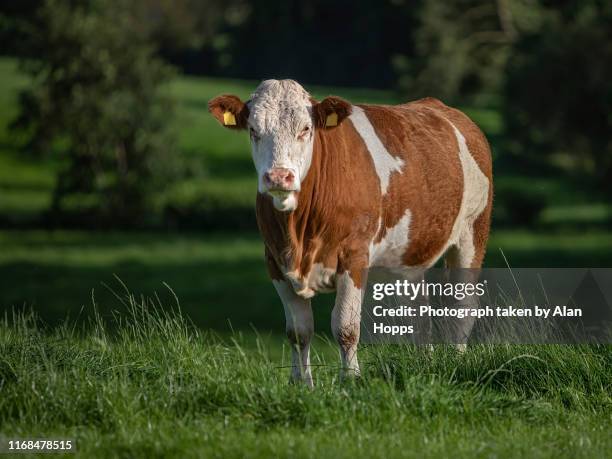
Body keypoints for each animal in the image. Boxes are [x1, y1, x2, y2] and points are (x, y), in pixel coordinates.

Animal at [210, 80, 492, 388]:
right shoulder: (274, 259)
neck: (299, 236)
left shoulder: (353, 256)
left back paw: (456, 361)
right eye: (253, 130)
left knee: (461, 305)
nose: (278, 177)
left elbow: (346, 327)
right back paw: (425, 364)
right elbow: (298, 331)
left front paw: (351, 380)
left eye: (305, 129)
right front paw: (301, 384)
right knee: (417, 312)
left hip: (473, 230)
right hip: (408, 257)